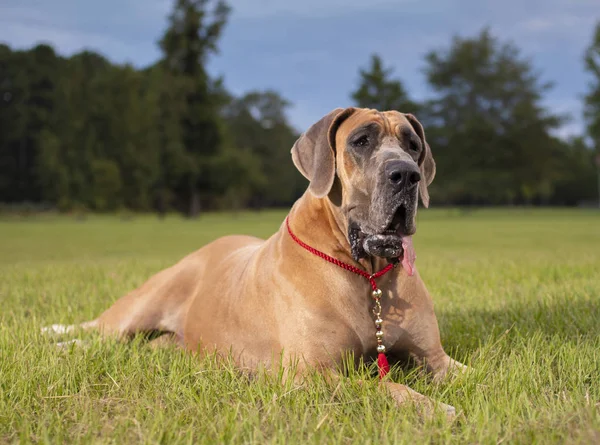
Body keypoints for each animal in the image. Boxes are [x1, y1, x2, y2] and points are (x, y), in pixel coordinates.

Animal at [45, 106, 468, 416]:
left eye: (413, 145)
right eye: (361, 141)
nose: (407, 175)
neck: (367, 276)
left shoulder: (438, 359)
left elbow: (474, 374)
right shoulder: (309, 373)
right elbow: (388, 388)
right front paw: (435, 409)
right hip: (141, 305)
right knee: (98, 332)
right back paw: (59, 340)